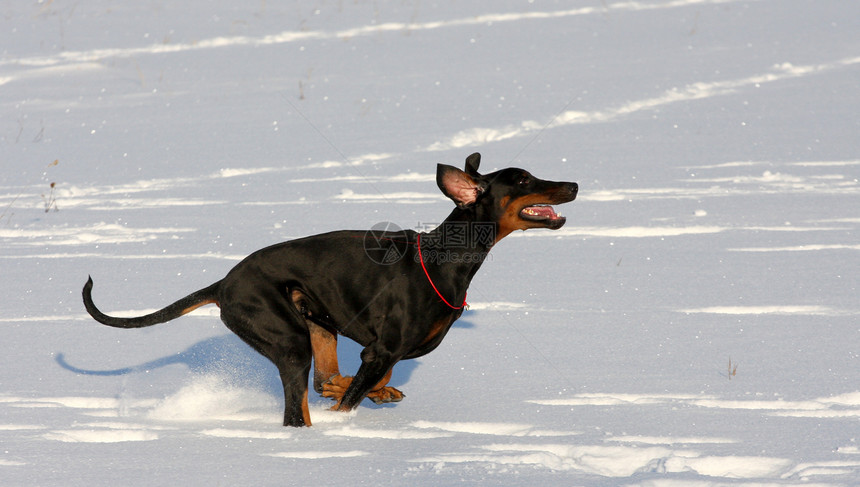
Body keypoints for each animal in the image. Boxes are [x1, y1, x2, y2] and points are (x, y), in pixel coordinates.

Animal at [82, 153, 576, 428]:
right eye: (524, 179)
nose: (573, 184)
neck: (444, 258)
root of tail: (223, 284)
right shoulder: (381, 349)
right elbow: (358, 390)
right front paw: (352, 410)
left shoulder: (378, 351)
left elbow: (364, 381)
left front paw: (369, 392)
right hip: (289, 340)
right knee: (296, 413)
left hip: (314, 322)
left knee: (320, 379)